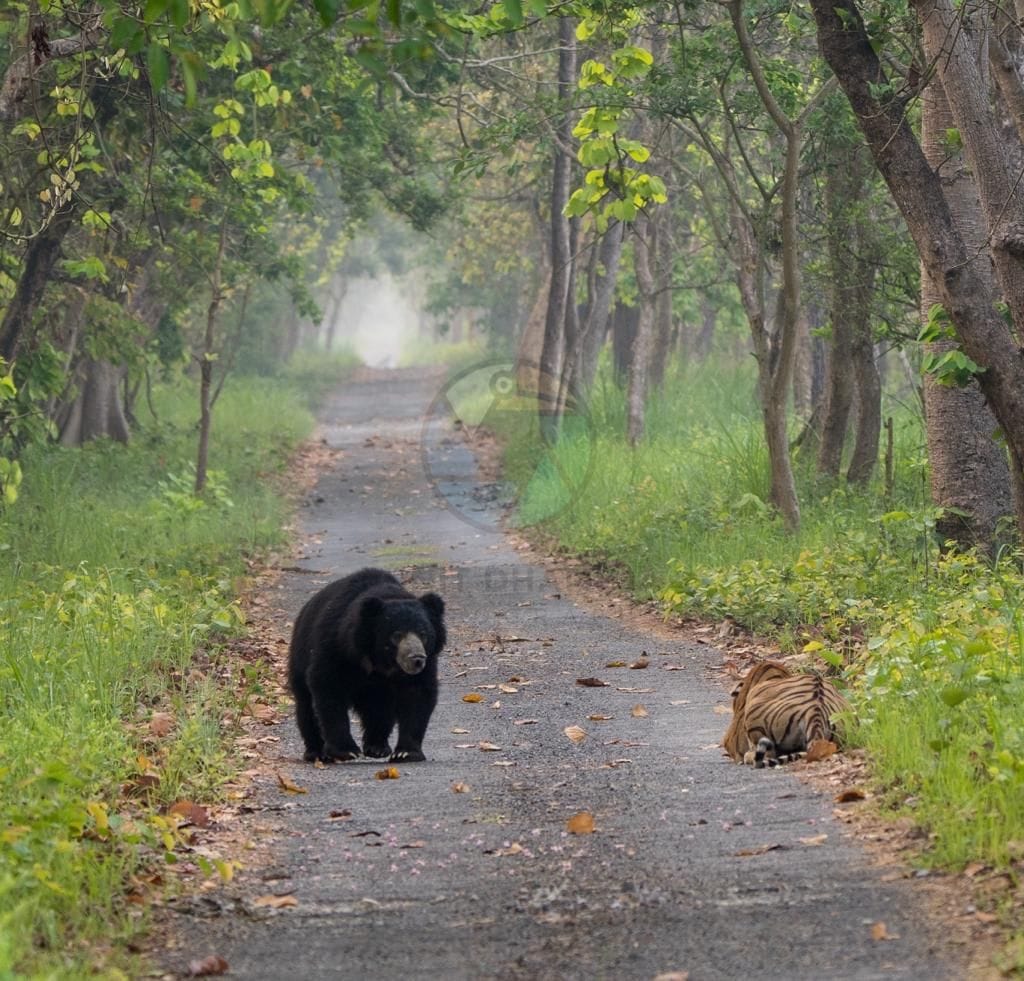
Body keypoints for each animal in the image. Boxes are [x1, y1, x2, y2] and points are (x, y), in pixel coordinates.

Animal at [288, 567, 446, 764]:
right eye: (396, 635)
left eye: (423, 634)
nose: (416, 659)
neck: (381, 662)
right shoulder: (335, 647)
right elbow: (328, 687)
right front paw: (346, 751)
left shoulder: (427, 662)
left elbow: (418, 695)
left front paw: (406, 753)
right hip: (299, 657)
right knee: (306, 705)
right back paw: (316, 752)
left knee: (380, 711)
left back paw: (377, 747)